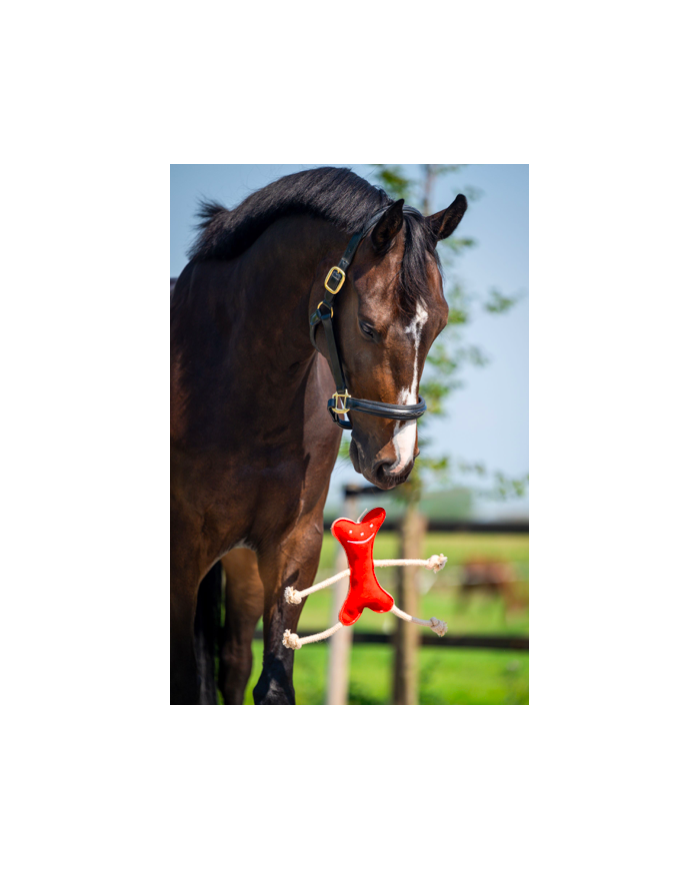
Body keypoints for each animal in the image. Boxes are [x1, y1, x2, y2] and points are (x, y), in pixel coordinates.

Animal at [171, 167, 466, 704]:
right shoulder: (178, 560)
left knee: (233, 664)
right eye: (367, 326)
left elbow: (273, 684)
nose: (394, 463)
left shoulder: (295, 546)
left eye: (439, 324)